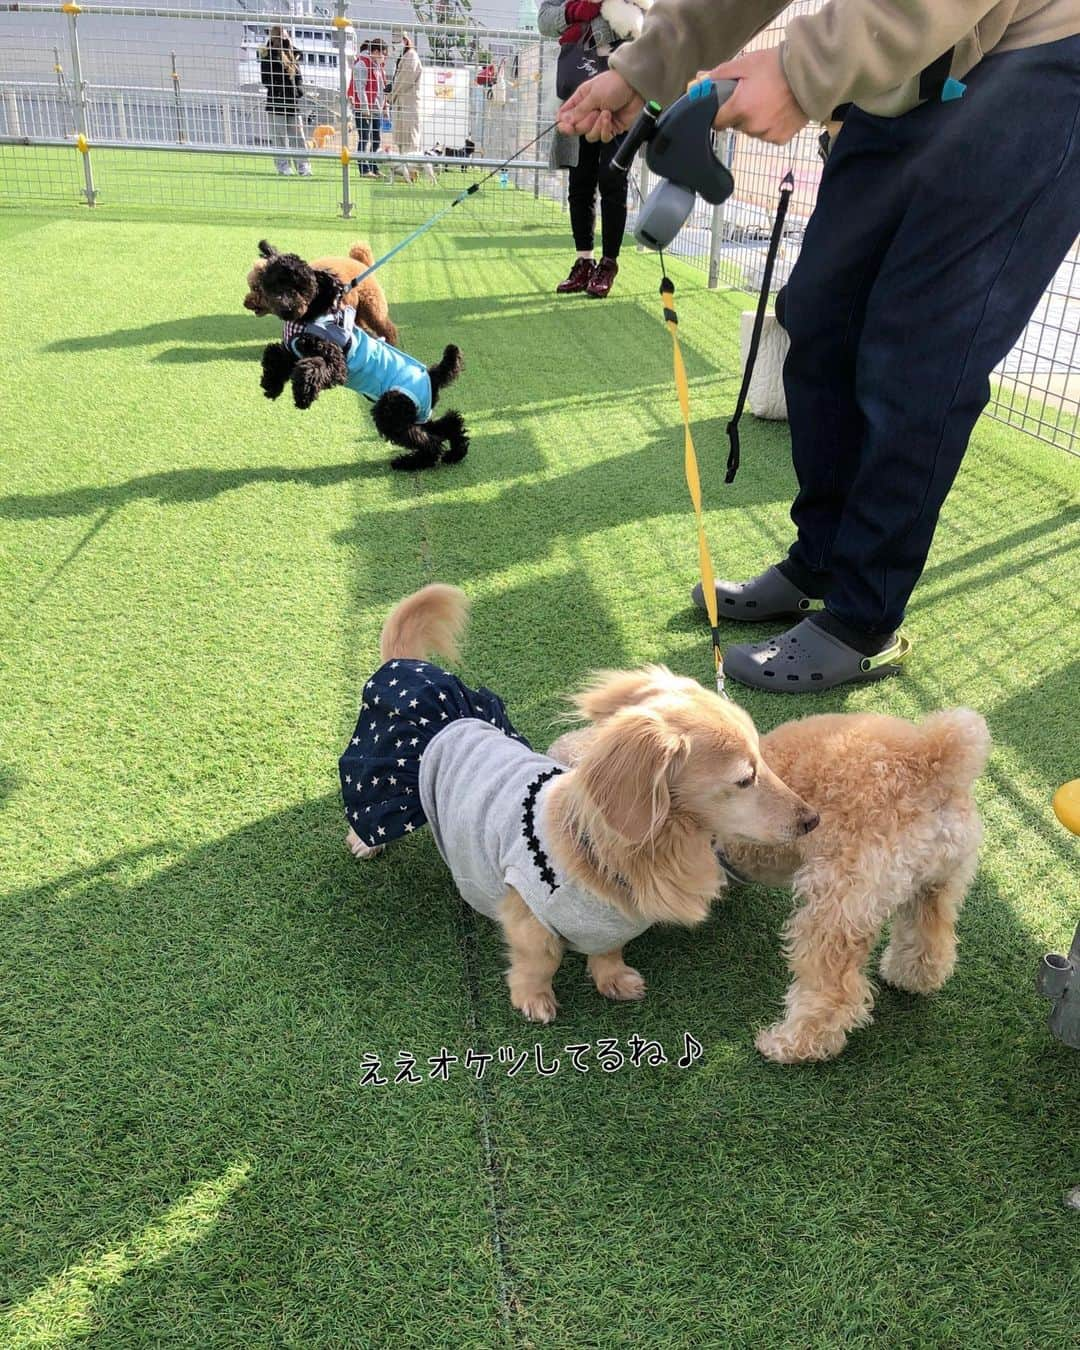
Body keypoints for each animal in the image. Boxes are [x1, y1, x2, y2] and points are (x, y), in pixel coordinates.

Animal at [257, 240, 472, 472]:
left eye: (301, 287)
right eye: (275, 284)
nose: (286, 307)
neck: (310, 317)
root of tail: (433, 375)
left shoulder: (336, 363)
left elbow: (311, 368)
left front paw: (303, 396)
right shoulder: (293, 350)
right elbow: (274, 354)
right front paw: (271, 386)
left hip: (392, 409)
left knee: (430, 441)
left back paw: (410, 462)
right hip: (413, 413)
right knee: (449, 422)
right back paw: (455, 453)